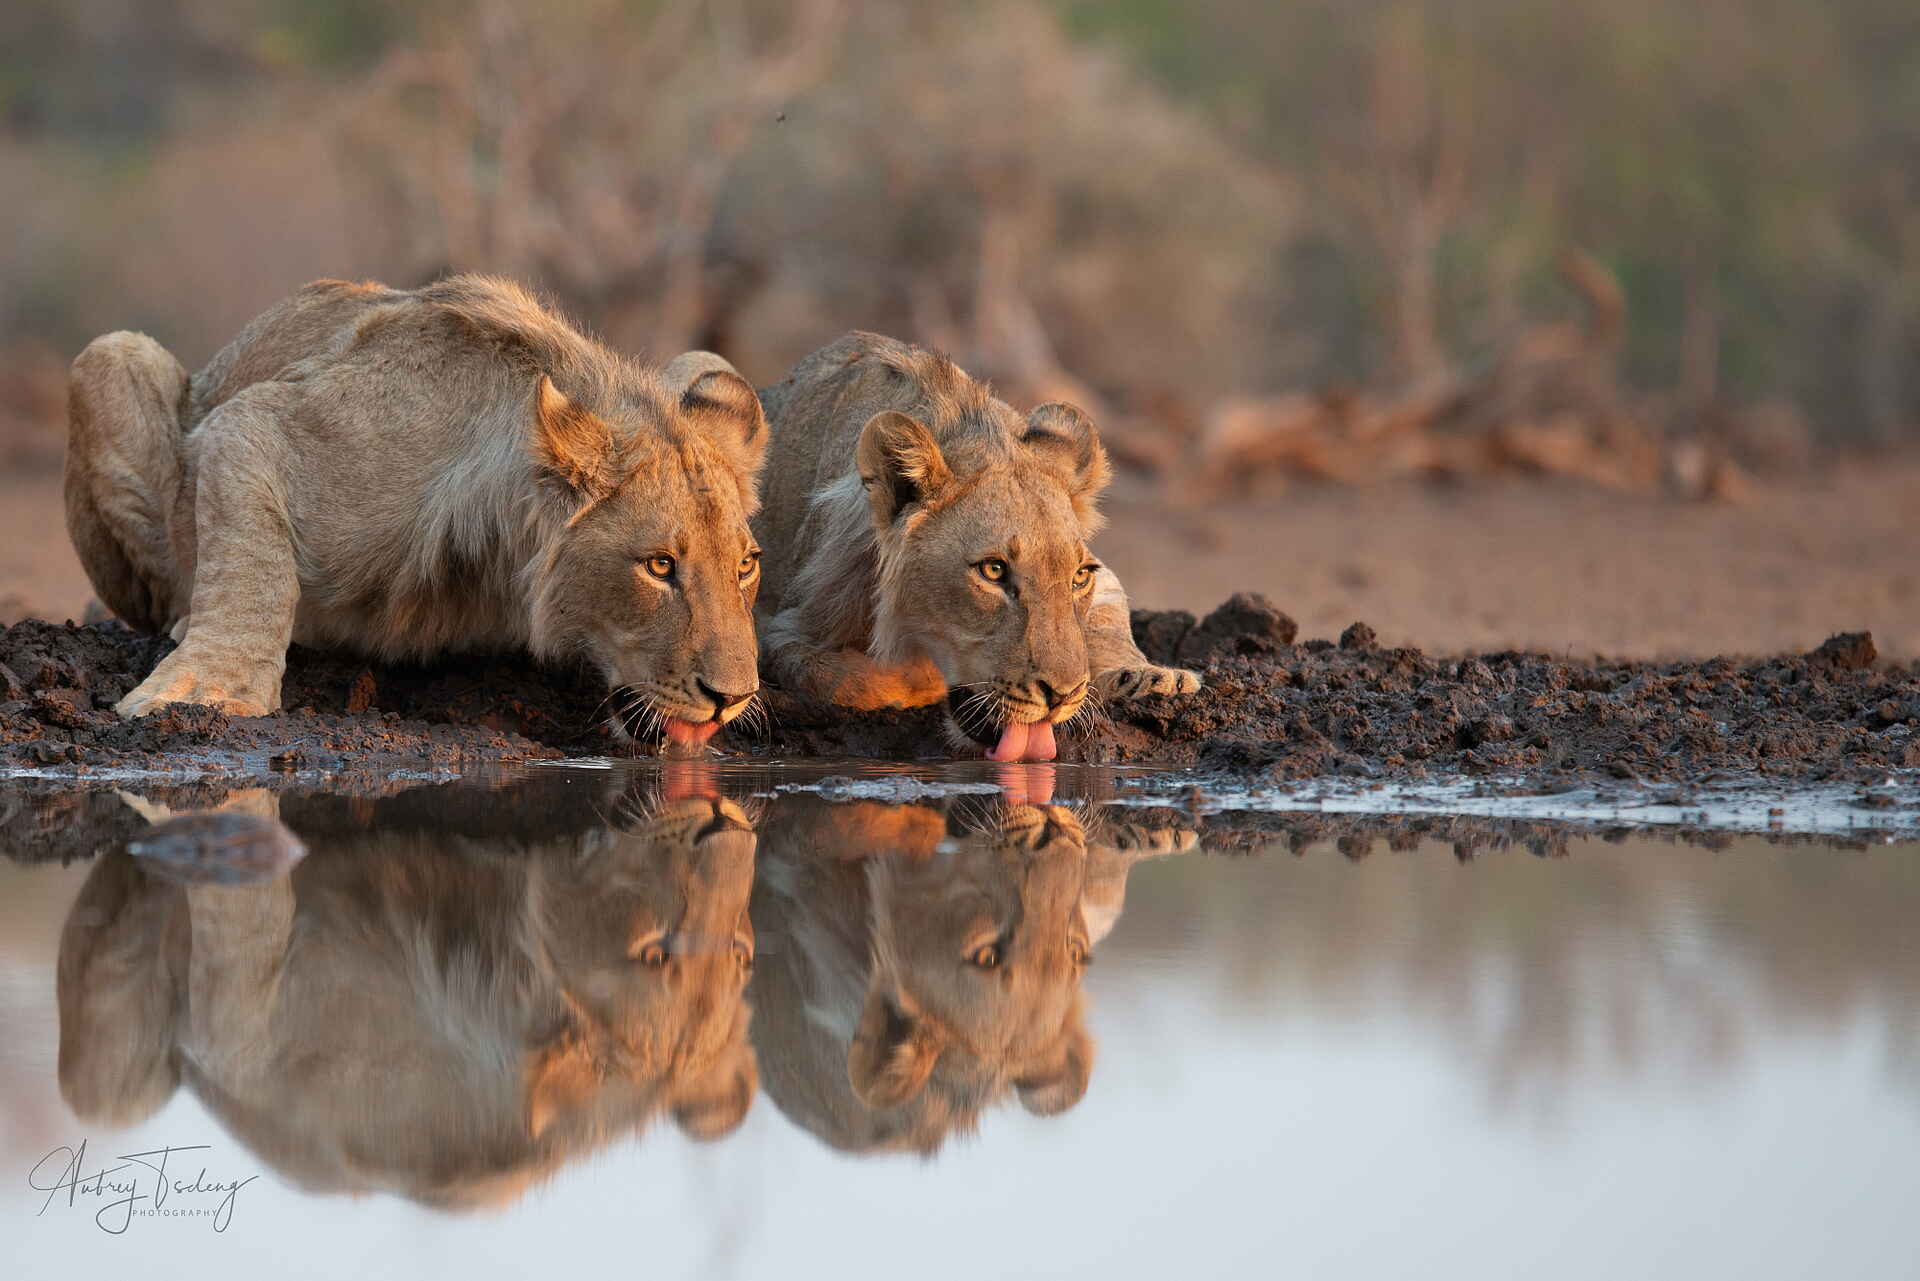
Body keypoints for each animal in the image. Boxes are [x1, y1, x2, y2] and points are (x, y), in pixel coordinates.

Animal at [65, 275, 764, 750]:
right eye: (658, 566)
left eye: (747, 566)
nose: (733, 700)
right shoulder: (261, 421)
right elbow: (249, 565)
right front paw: (210, 689)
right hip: (109, 353)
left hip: (707, 366)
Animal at [751, 332, 1201, 762]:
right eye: (993, 570)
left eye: (1079, 577)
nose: (1062, 696)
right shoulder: (785, 625)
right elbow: (844, 680)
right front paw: (917, 681)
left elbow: (1110, 614)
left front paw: (1152, 677)